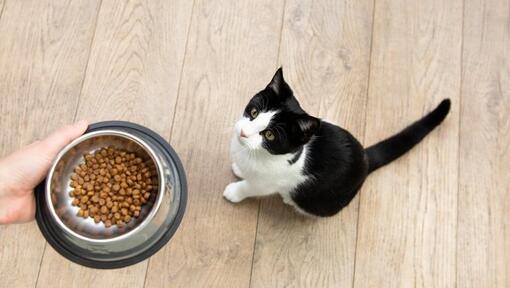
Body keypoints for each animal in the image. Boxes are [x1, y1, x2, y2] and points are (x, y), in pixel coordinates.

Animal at [223, 67, 450, 216]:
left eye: (269, 135)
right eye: (253, 112)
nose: (243, 132)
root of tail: (365, 158)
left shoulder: (269, 182)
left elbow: (251, 187)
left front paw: (235, 191)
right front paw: (240, 169)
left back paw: (289, 199)